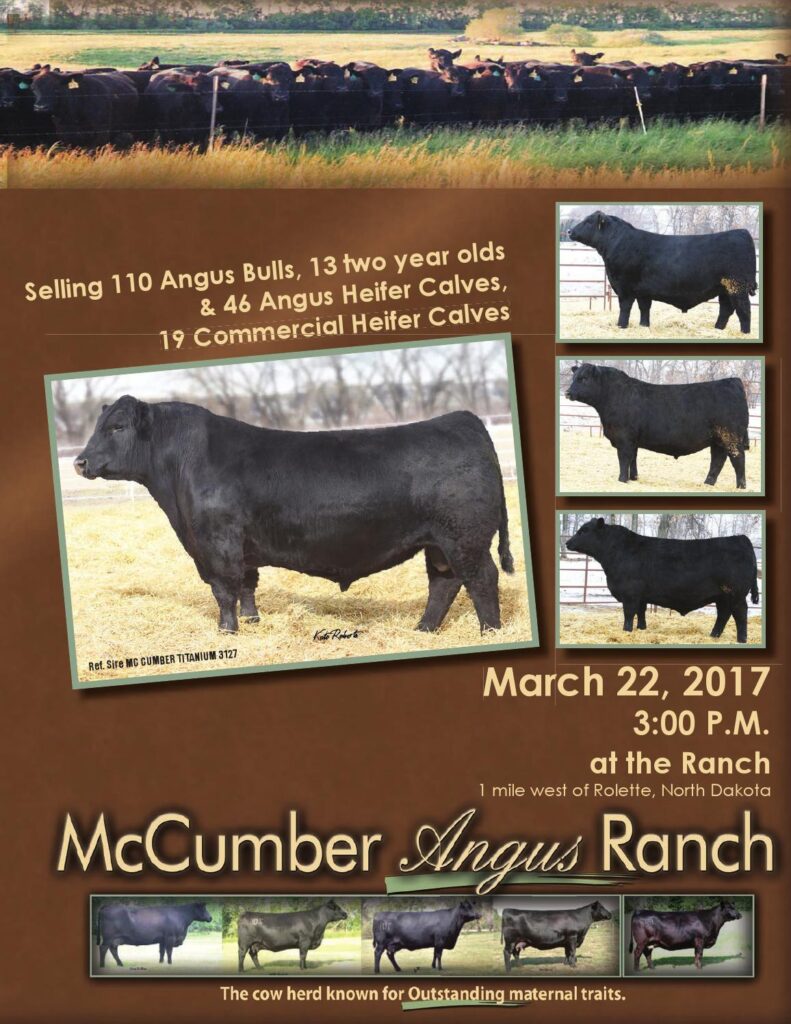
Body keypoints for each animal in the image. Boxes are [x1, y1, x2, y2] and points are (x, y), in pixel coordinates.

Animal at [74, 399, 514, 635]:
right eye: (98, 425)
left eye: (117, 427)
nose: (79, 462)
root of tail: (463, 419)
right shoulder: (241, 548)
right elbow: (247, 585)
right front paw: (251, 622)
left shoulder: (218, 544)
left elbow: (224, 589)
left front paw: (227, 632)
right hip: (438, 542)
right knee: (444, 583)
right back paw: (423, 630)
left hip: (465, 537)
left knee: (481, 579)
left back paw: (489, 631)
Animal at [565, 363, 751, 488]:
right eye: (574, 377)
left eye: (583, 378)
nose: (567, 392)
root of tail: (733, 381)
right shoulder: (633, 440)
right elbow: (633, 459)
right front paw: (634, 478)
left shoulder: (624, 438)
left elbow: (624, 459)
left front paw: (622, 480)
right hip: (718, 439)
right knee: (717, 460)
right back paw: (707, 483)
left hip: (731, 437)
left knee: (738, 459)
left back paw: (740, 486)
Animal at [565, 518, 759, 643]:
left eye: (584, 531)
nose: (567, 543)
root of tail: (741, 538)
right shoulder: (641, 595)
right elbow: (641, 612)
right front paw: (641, 629)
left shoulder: (630, 593)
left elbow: (629, 613)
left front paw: (626, 632)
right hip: (722, 596)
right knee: (723, 614)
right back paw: (714, 636)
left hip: (735, 593)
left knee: (740, 613)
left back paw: (741, 639)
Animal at [567, 211, 757, 333]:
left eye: (588, 221)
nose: (569, 230)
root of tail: (742, 232)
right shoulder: (642, 290)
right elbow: (644, 309)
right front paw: (644, 326)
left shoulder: (624, 287)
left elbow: (625, 307)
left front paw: (621, 326)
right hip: (725, 288)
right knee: (726, 310)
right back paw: (717, 330)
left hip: (736, 286)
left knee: (744, 310)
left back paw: (744, 333)